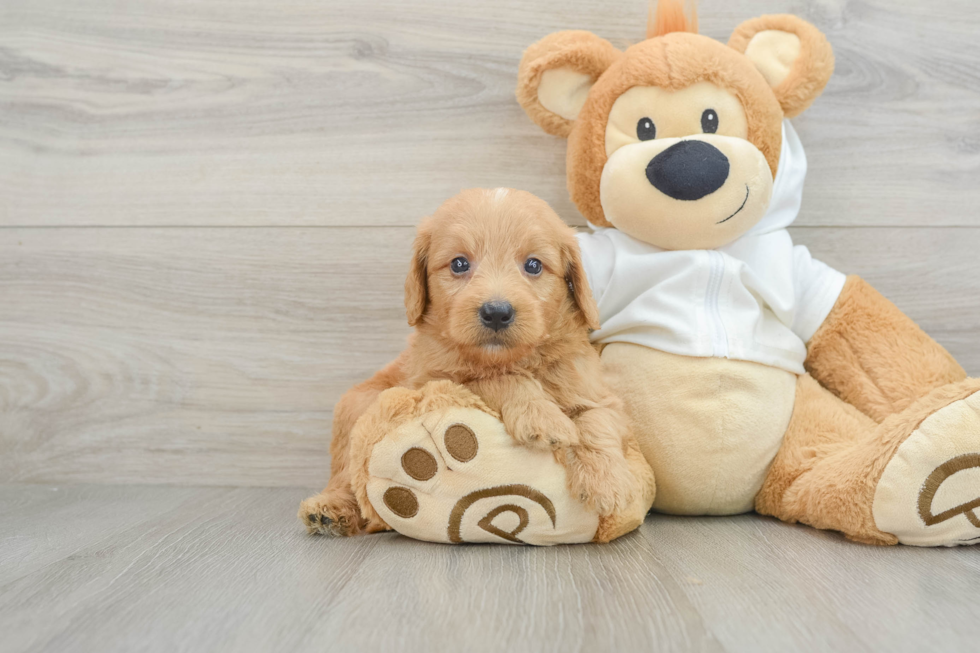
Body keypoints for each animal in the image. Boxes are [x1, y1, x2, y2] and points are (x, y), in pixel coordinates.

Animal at [302, 187, 648, 536]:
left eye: (534, 265)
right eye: (459, 263)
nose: (496, 312)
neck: (514, 358)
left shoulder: (596, 392)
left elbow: (596, 420)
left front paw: (608, 483)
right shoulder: (433, 380)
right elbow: (497, 379)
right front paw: (540, 416)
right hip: (355, 410)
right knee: (346, 475)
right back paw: (330, 509)